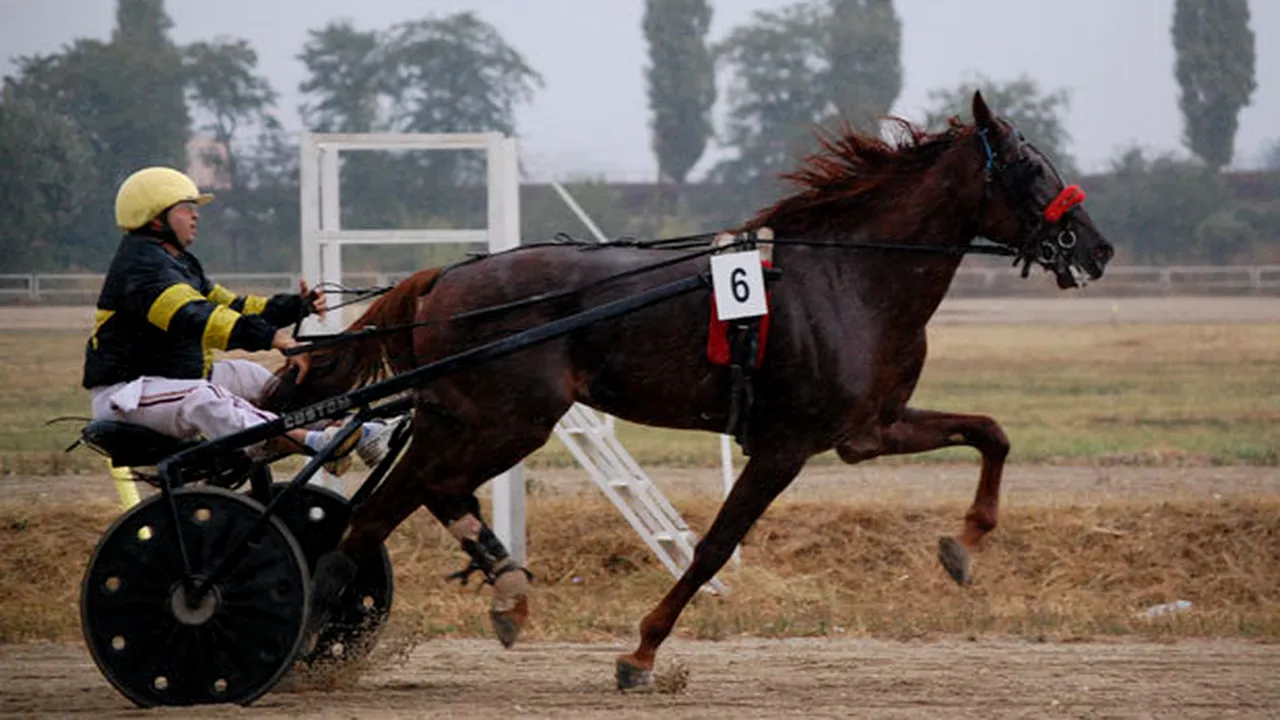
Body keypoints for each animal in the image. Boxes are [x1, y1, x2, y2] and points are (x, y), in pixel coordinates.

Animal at [267, 92, 1111, 686]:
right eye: (1031, 168)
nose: (1097, 249)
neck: (847, 277)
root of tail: (446, 276)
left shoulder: (869, 428)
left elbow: (990, 431)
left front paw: (964, 545)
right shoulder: (787, 444)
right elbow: (712, 547)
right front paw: (640, 654)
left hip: (466, 417)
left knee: (416, 496)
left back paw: (489, 594)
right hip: (508, 420)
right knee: (392, 505)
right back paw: (316, 622)